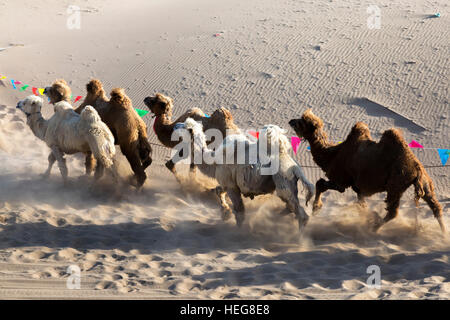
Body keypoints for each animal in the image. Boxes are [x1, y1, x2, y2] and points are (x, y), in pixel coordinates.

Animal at [179, 117, 312, 230]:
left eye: (185, 126)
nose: (176, 125)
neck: (215, 161)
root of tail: (295, 167)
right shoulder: (228, 183)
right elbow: (218, 190)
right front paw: (225, 213)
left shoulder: (231, 186)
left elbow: (239, 211)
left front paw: (238, 230)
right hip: (288, 184)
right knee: (291, 206)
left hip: (283, 179)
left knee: (300, 213)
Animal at [290, 109, 444, 232]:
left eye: (302, 122)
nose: (291, 121)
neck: (332, 154)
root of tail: (416, 168)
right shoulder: (358, 188)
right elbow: (362, 204)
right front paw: (366, 216)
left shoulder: (341, 182)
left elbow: (320, 184)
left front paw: (316, 208)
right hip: (424, 182)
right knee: (435, 206)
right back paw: (443, 234)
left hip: (396, 184)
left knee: (393, 212)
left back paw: (374, 227)